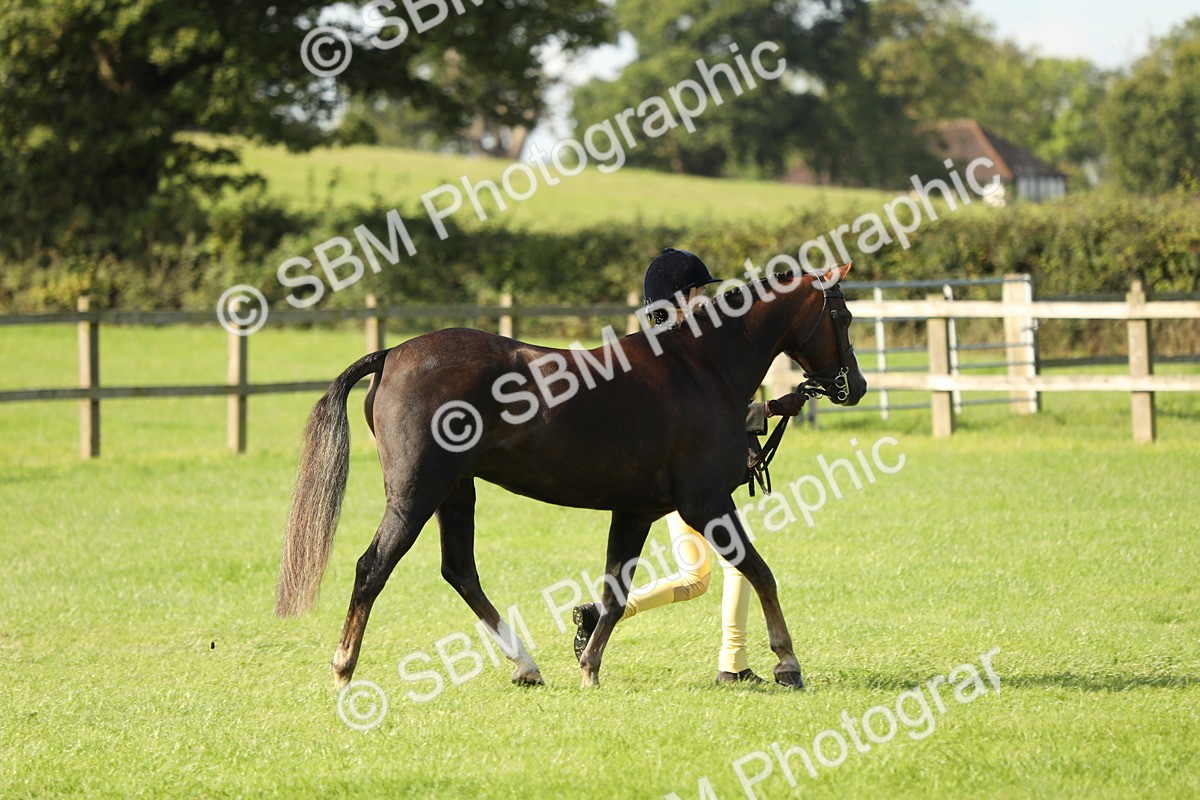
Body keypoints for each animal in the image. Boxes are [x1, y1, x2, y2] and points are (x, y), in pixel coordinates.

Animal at [275, 262, 867, 689]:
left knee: (460, 571)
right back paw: (344, 670)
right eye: (842, 315)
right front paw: (787, 663)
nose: (855, 385)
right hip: (417, 494)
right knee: (373, 568)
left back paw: (526, 666)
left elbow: (616, 591)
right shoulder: (707, 503)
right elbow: (760, 572)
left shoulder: (636, 511)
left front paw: (589, 667)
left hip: (456, 492)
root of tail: (394, 353)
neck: (700, 366)